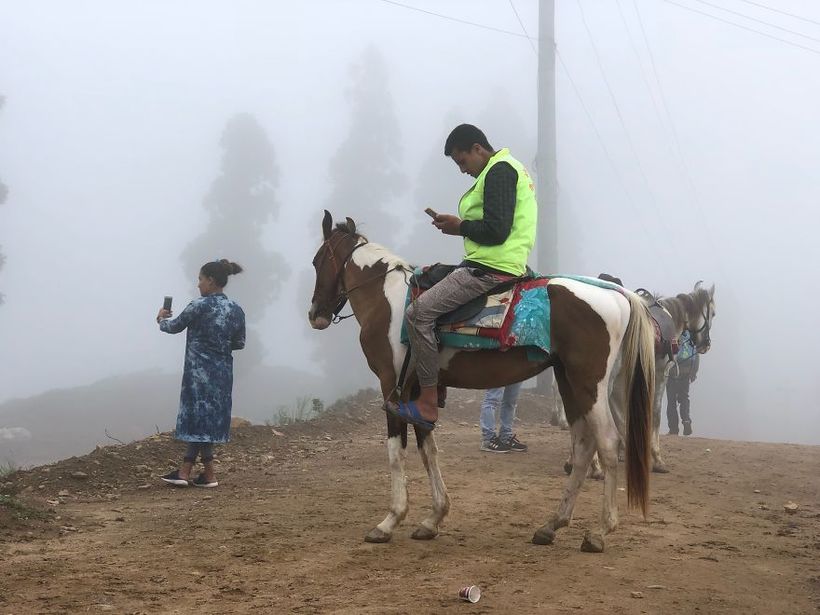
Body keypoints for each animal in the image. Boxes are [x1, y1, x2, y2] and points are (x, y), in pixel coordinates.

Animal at [304, 212, 656, 552]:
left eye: (317, 260)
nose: (315, 313)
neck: (387, 299)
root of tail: (615, 294)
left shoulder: (393, 387)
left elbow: (396, 453)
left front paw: (390, 521)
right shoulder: (417, 393)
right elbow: (428, 449)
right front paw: (433, 518)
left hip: (588, 383)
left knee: (607, 442)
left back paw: (600, 531)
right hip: (570, 381)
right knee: (583, 444)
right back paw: (552, 525)